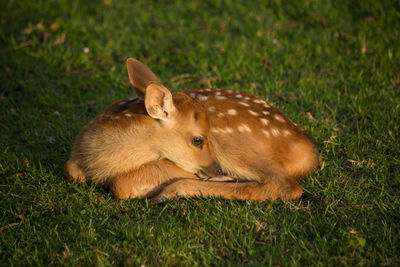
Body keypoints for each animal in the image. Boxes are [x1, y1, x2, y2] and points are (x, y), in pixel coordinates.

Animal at [65, 57, 318, 202]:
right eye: (197, 140)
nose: (217, 169)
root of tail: (308, 150)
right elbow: (71, 170)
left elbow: (122, 185)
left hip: (234, 142)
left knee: (285, 185)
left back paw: (173, 191)